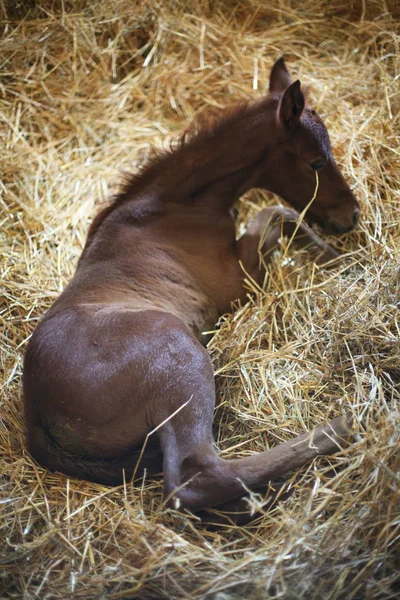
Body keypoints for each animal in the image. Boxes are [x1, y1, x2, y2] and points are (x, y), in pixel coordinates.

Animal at [24, 58, 360, 512]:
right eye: (316, 163)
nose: (352, 216)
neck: (176, 206)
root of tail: (33, 413)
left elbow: (283, 214)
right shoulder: (235, 282)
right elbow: (278, 211)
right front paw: (335, 257)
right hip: (181, 359)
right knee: (196, 476)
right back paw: (335, 431)